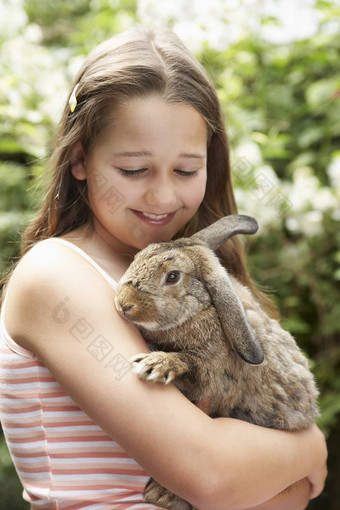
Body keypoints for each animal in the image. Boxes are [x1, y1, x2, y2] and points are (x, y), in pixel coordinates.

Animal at [114, 213, 318, 508]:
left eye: (173, 276)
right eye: (138, 256)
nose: (123, 303)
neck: (203, 308)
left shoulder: (212, 376)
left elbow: (190, 363)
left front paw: (154, 365)